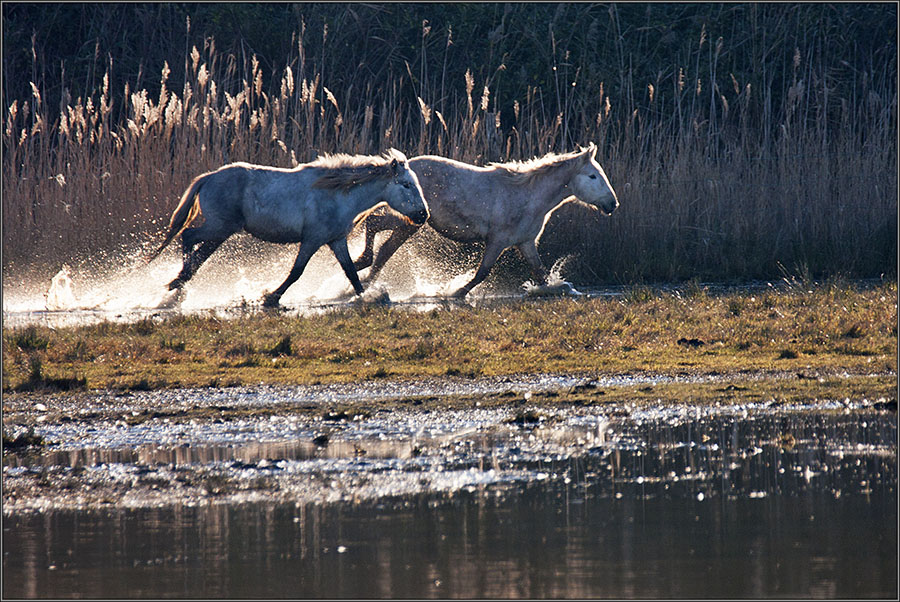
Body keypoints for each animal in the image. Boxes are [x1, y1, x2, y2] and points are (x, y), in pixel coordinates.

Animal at [149, 148, 428, 308]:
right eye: (406, 184)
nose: (423, 215)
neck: (337, 194)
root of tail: (208, 178)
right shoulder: (312, 239)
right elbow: (297, 272)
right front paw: (271, 297)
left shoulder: (336, 240)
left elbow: (351, 272)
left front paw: (364, 295)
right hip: (219, 227)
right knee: (188, 237)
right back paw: (176, 284)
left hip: (220, 231)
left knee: (197, 254)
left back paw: (177, 287)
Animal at [354, 144, 620, 298]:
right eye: (593, 176)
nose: (612, 204)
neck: (528, 197)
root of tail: (402, 168)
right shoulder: (497, 241)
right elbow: (482, 273)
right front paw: (454, 293)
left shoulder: (526, 243)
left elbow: (541, 274)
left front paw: (560, 288)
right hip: (406, 219)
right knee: (374, 225)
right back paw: (360, 266)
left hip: (410, 223)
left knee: (385, 248)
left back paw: (364, 278)